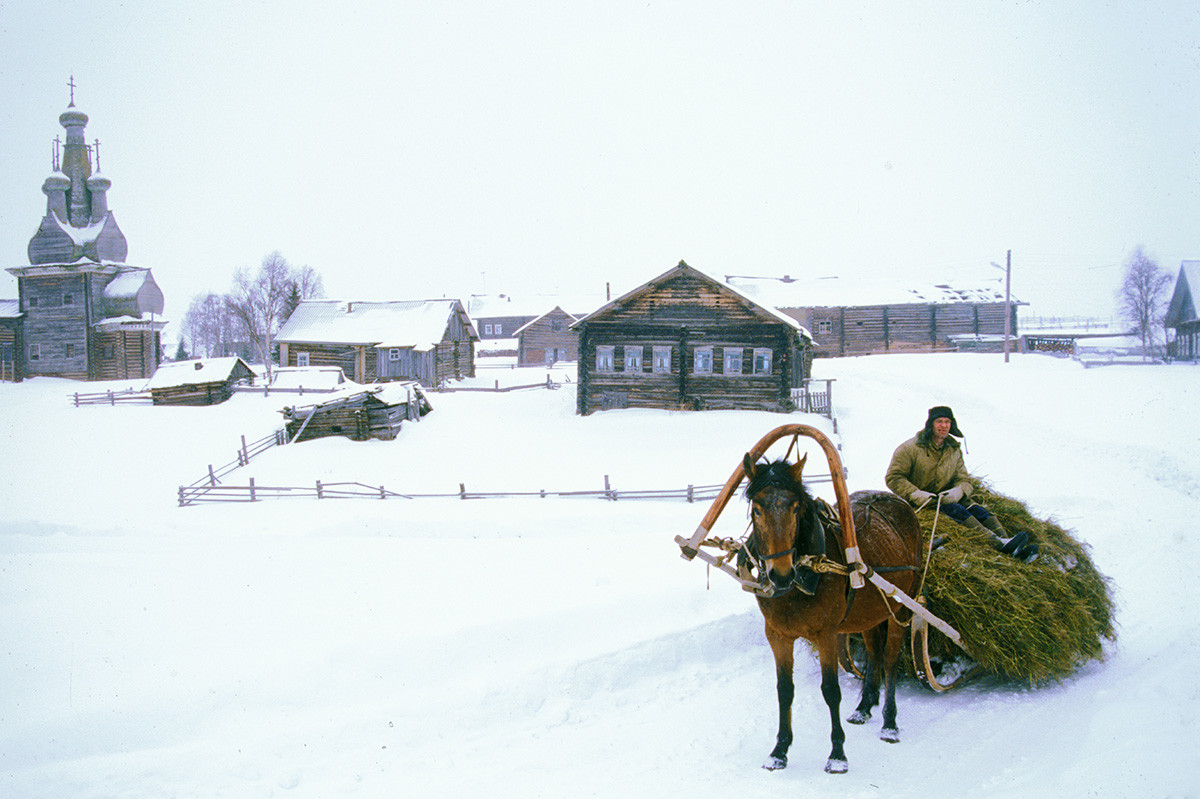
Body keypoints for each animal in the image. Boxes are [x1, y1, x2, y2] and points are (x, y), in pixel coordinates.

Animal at [739, 453, 926, 772]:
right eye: (758, 509)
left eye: (795, 507)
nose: (780, 575)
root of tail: (900, 503)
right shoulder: (777, 635)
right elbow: (784, 690)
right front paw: (779, 751)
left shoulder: (825, 635)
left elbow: (830, 690)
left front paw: (837, 754)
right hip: (869, 612)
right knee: (874, 652)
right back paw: (864, 707)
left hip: (902, 605)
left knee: (890, 659)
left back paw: (889, 723)